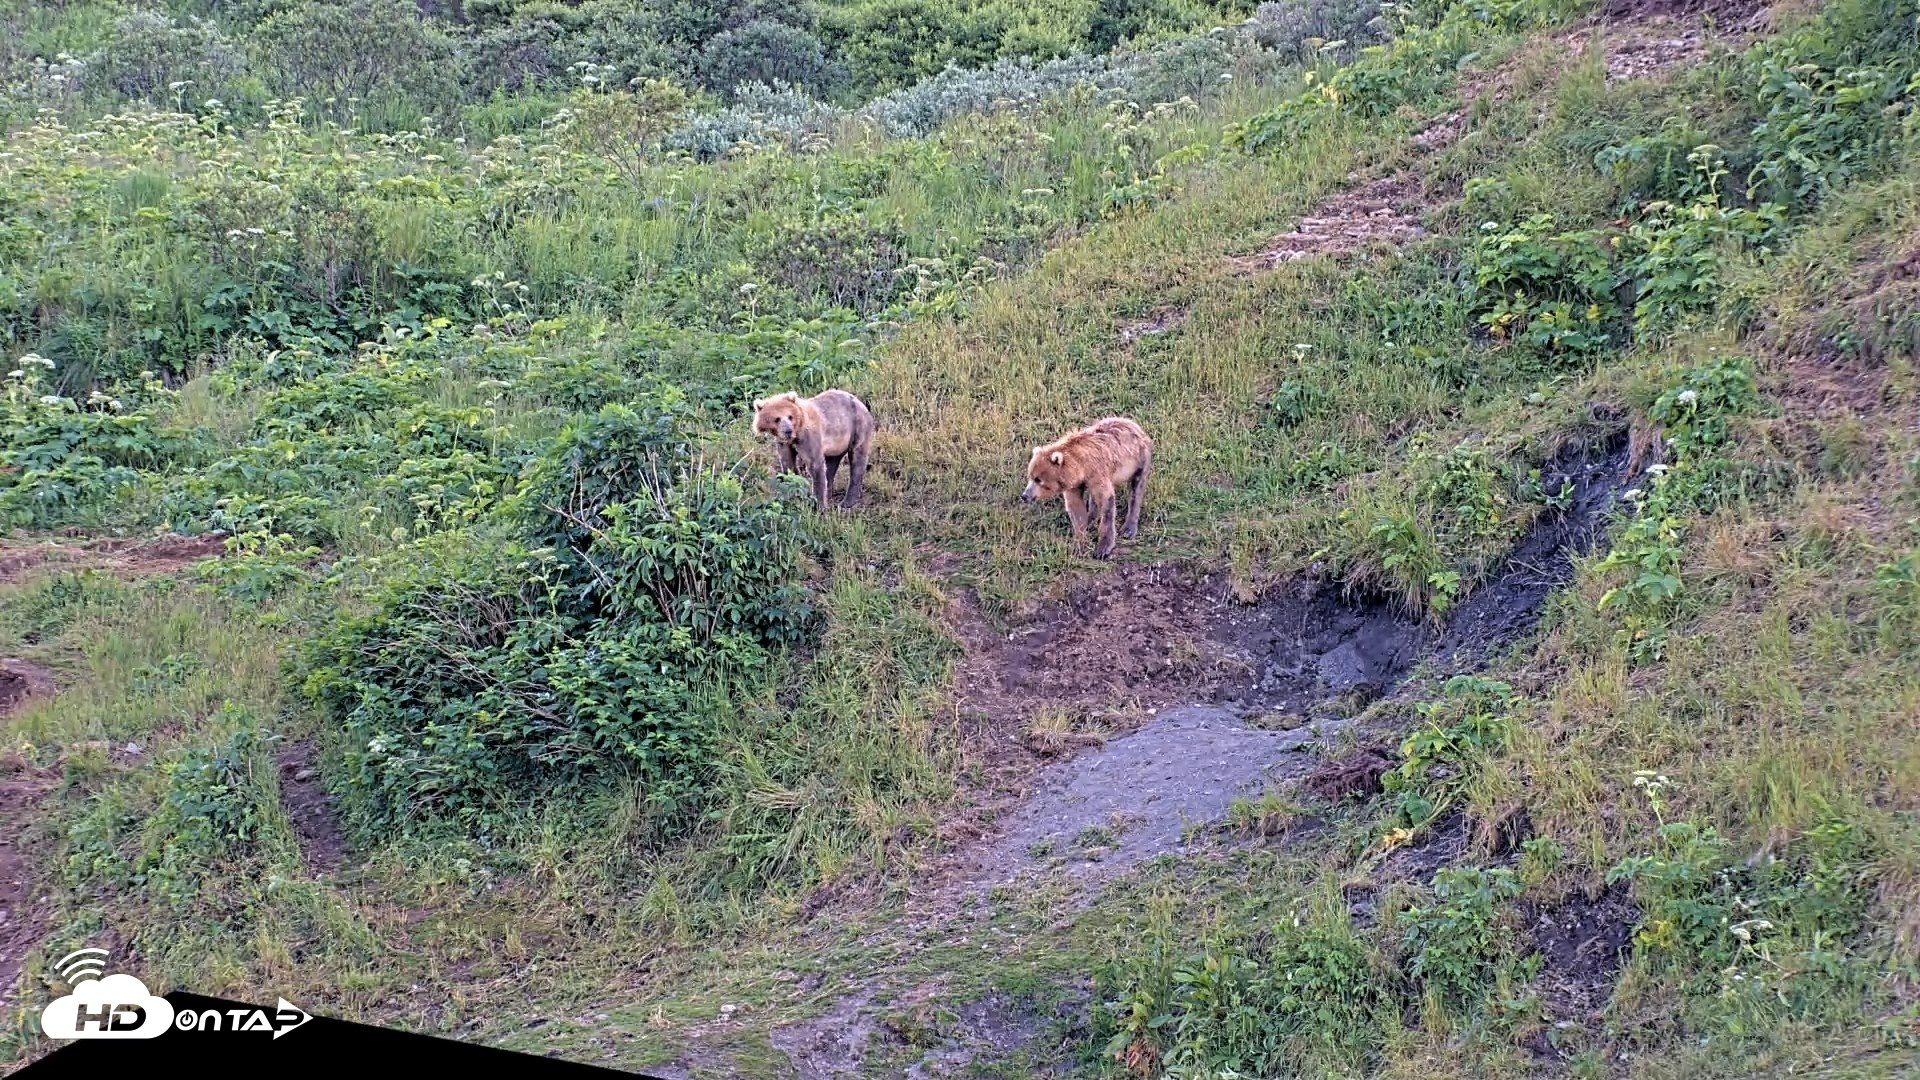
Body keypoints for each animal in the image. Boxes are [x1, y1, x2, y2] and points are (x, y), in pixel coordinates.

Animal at [1019, 416, 1153, 559]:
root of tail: (1132, 423)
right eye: (1030, 476)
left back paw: (1128, 529)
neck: (1081, 467)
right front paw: (1078, 543)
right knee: (1094, 497)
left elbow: (1107, 502)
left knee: (1136, 489)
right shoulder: (1074, 484)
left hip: (1139, 459)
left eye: (1038, 479)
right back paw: (1091, 518)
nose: (1025, 495)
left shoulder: (1098, 472)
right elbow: (1076, 507)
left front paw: (1103, 548)